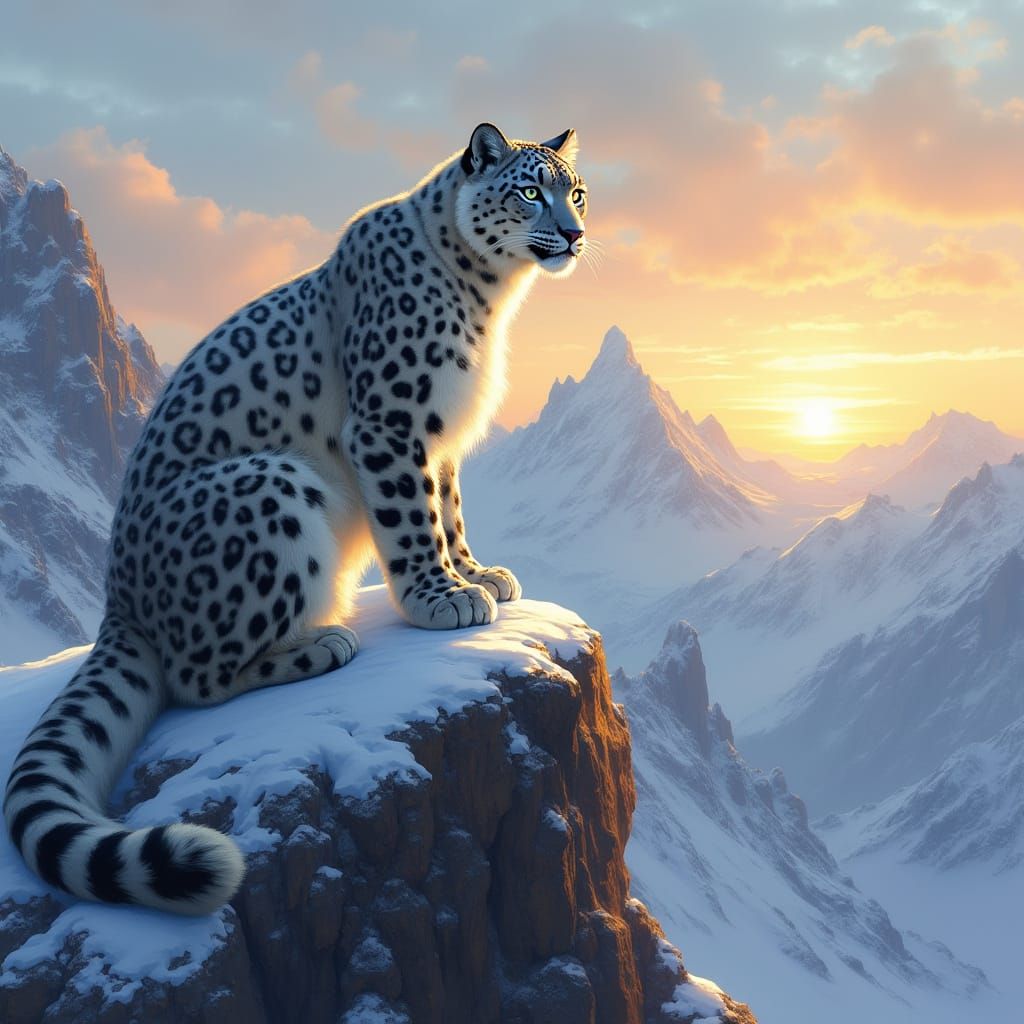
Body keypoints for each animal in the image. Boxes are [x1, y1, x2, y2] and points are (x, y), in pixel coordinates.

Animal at [3, 123, 587, 914]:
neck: (489, 298)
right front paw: (441, 600)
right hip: (274, 488)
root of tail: (117, 600)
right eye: (529, 189)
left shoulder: (439, 435)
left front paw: (478, 574)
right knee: (195, 675)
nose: (574, 233)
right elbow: (413, 518)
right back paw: (321, 644)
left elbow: (449, 509)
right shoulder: (389, 423)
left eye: (576, 191)